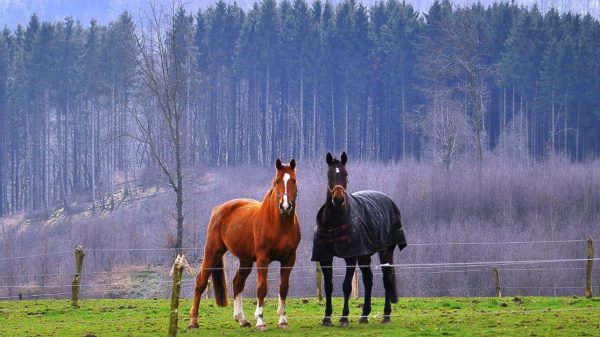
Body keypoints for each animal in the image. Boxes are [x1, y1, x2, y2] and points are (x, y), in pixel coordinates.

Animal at [189, 159, 300, 330]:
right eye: (277, 181)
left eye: (293, 180)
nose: (285, 206)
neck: (279, 224)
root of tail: (217, 209)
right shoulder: (263, 259)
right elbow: (262, 288)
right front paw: (260, 321)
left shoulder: (289, 259)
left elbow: (283, 288)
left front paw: (282, 320)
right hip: (212, 252)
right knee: (200, 282)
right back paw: (194, 321)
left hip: (245, 260)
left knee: (237, 283)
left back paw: (241, 319)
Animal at [312, 152, 406, 326]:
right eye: (329, 174)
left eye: (346, 174)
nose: (338, 199)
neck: (335, 223)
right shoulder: (325, 257)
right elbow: (329, 286)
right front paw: (327, 317)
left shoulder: (350, 257)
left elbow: (346, 286)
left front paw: (344, 317)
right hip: (364, 255)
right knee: (368, 279)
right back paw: (364, 315)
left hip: (386, 251)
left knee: (387, 278)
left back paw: (386, 315)